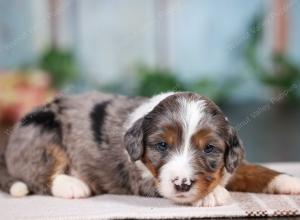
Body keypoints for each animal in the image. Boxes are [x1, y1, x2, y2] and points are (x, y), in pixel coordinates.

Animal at [0, 91, 300, 206]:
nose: (182, 184)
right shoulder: (142, 179)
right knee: (38, 172)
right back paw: (72, 185)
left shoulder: (231, 165)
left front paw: (288, 180)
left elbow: (253, 169)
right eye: (161, 145)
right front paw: (212, 195)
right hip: (42, 128)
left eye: (209, 149)